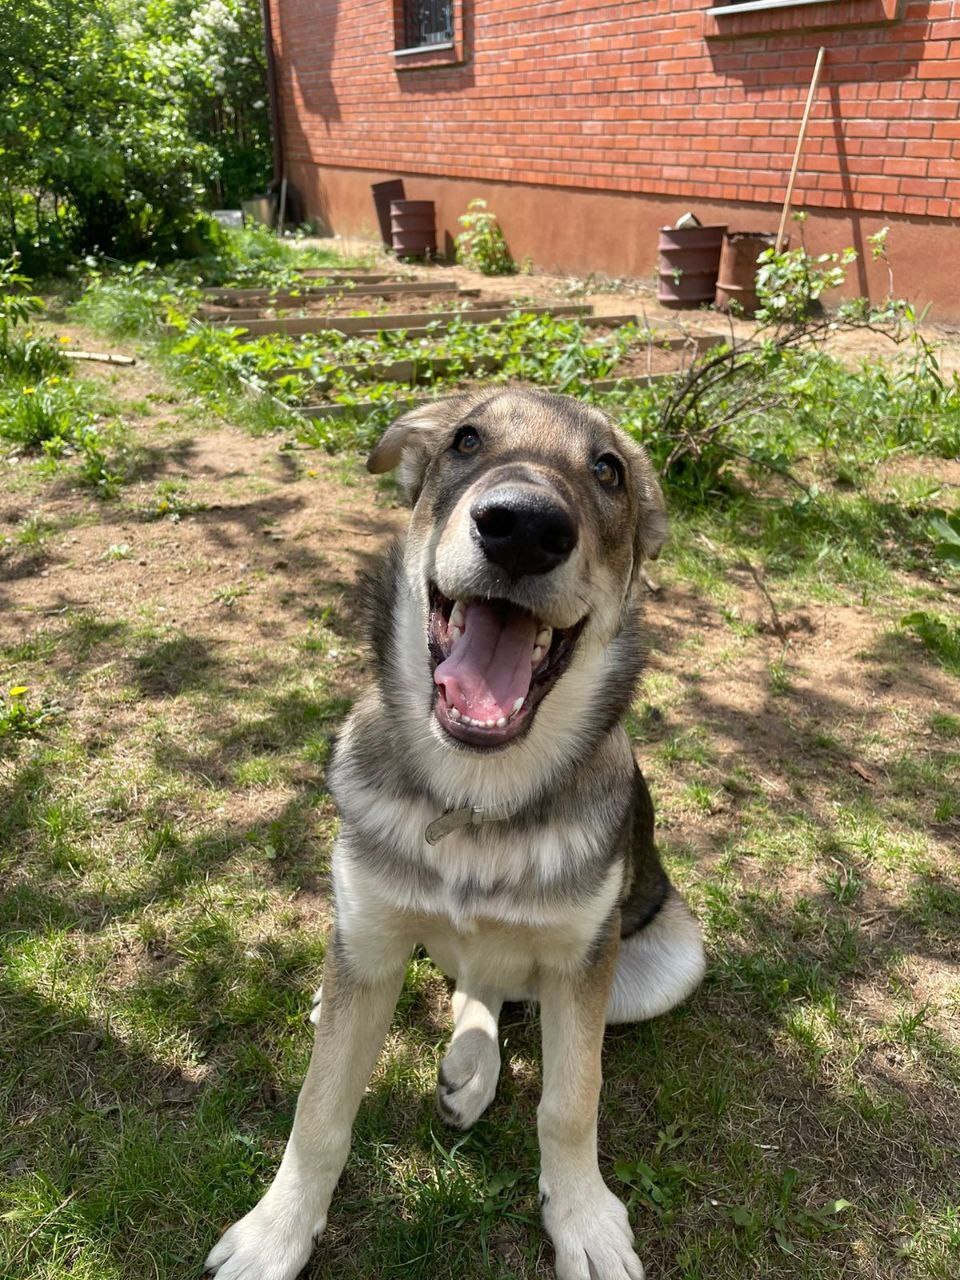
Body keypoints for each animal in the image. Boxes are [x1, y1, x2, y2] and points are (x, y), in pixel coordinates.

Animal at [208, 386, 706, 1280]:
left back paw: (472, 1068)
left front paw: (582, 1218)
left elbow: (571, 1100)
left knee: (496, 986)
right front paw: (275, 1232)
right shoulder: (368, 929)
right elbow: (318, 1108)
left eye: (609, 471)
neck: (475, 801)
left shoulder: (584, 959)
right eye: (466, 441)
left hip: (667, 959)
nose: (524, 527)